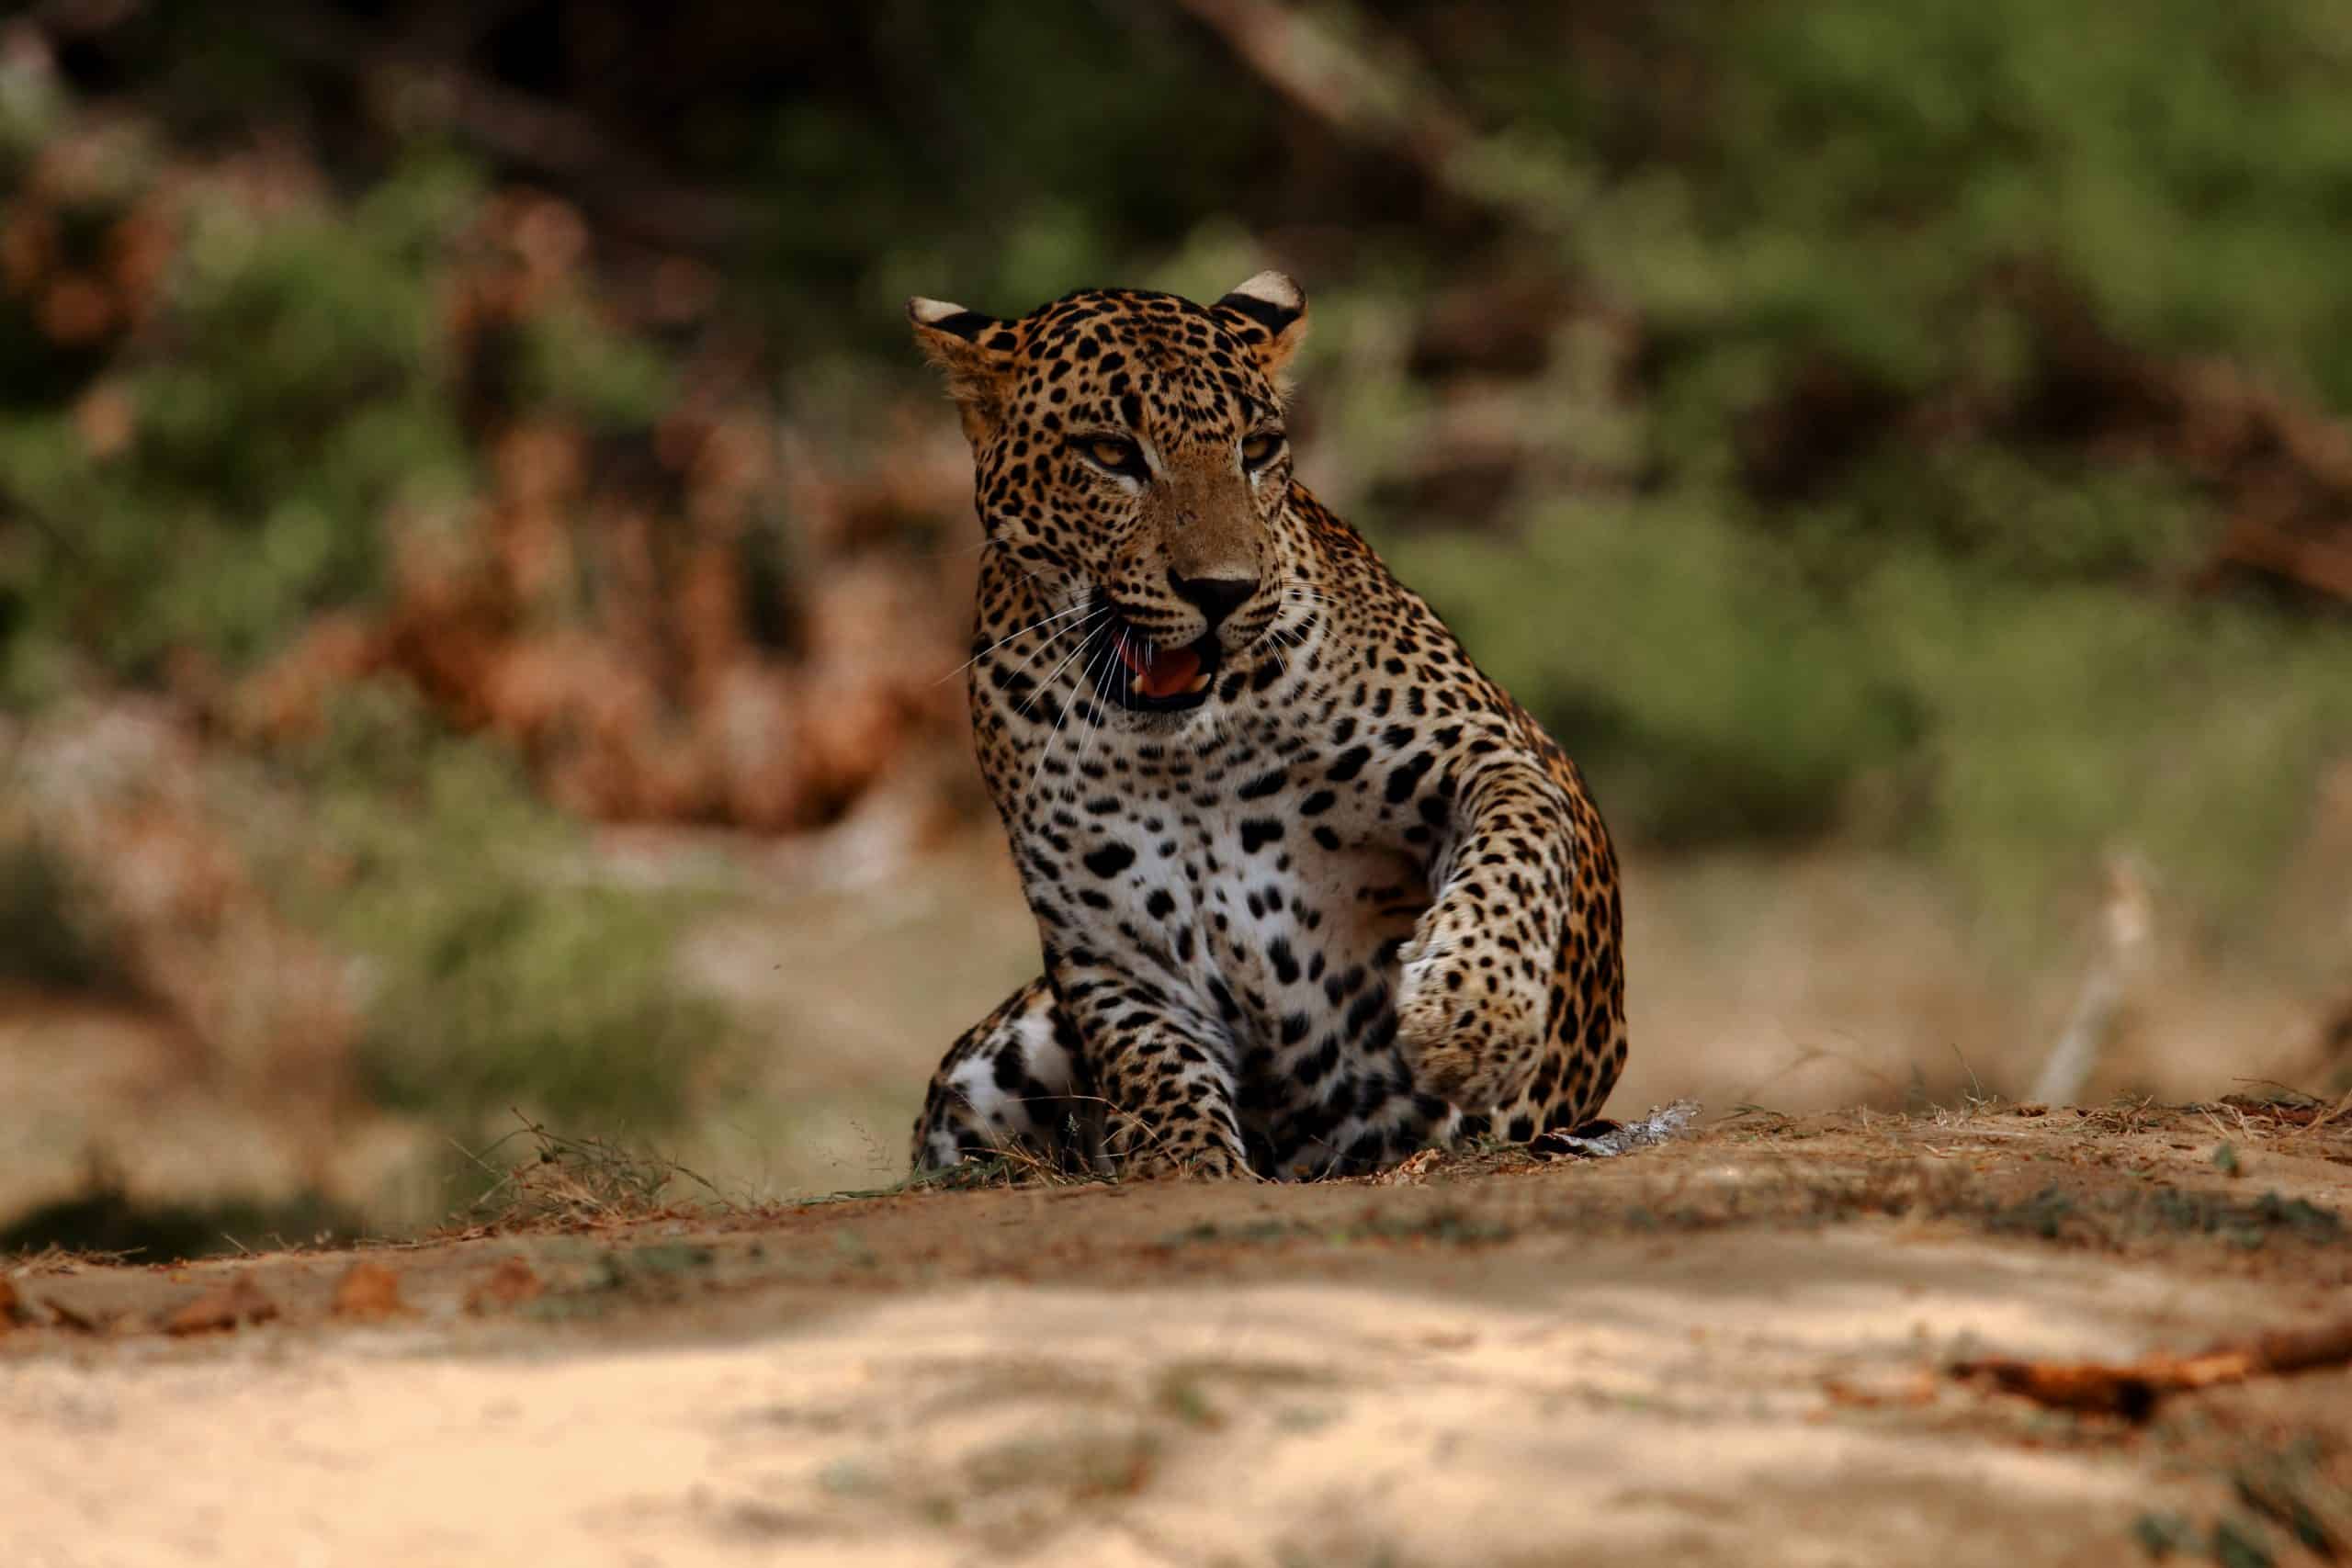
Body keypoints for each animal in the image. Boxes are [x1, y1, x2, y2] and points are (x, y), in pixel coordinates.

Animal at [904, 271, 1626, 1181]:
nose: (1223, 591)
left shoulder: (1485, 749)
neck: (1184, 748)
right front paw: (1183, 1162)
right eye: (1111, 453)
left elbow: (1517, 851)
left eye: (1258, 448)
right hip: (985, 1067)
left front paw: (1475, 1012)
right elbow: (1152, 1060)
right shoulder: (1108, 938)